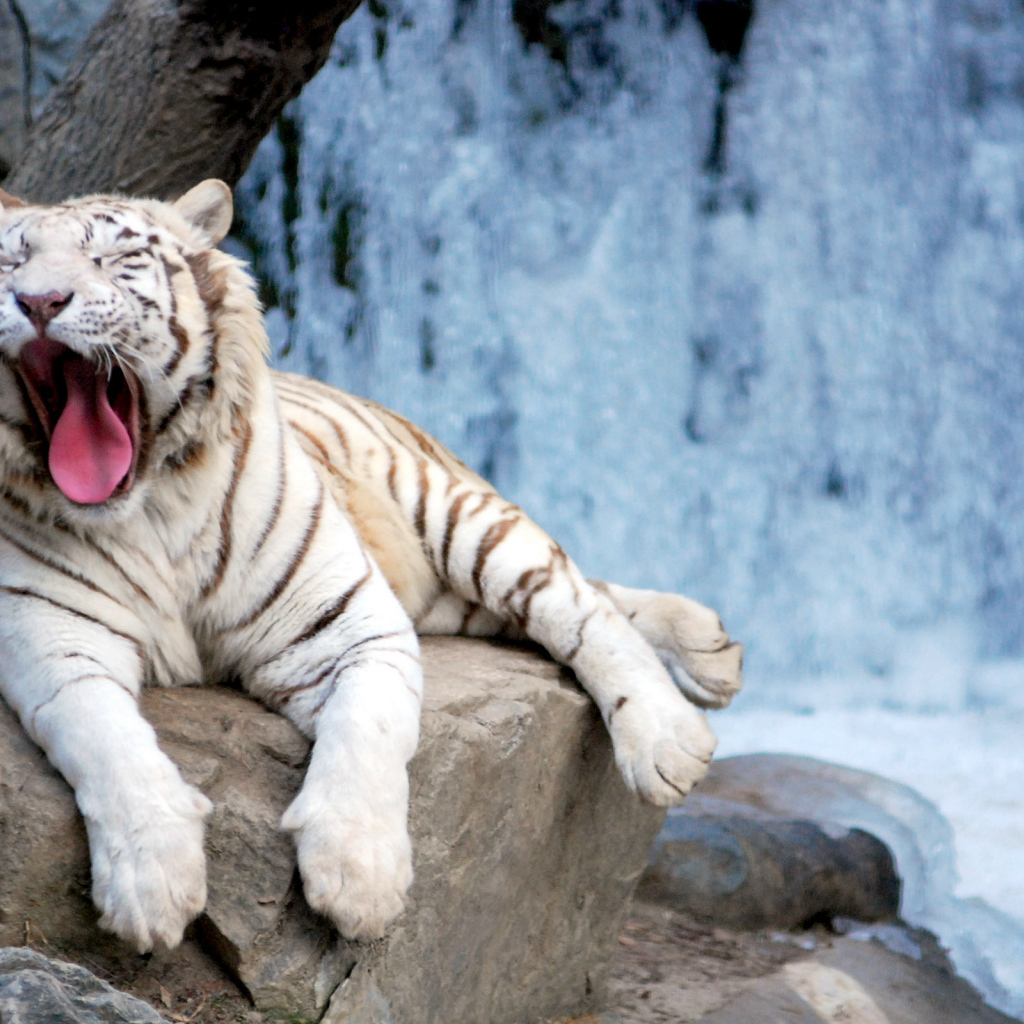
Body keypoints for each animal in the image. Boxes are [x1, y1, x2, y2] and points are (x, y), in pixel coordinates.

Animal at [0, 180, 743, 953]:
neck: (147, 507)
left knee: (575, 601)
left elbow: (369, 731)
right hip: (449, 599)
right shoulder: (52, 636)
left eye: (112, 258)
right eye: (13, 261)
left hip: (452, 513)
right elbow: (107, 740)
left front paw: (360, 881)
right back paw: (712, 647)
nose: (40, 301)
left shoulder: (345, 620)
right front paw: (153, 887)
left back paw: (672, 734)